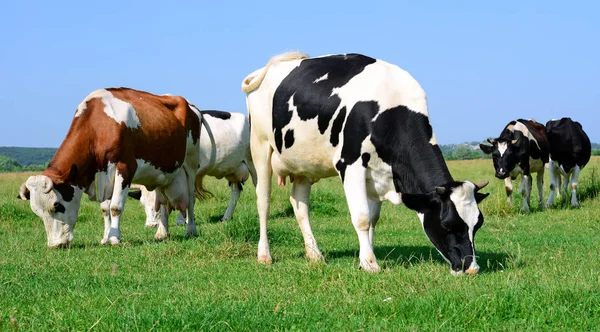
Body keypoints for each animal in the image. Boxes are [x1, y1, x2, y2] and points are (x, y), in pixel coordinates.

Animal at [18, 87, 202, 248]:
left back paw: (191, 230)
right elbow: (105, 209)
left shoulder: (125, 168)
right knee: (162, 202)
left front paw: (114, 238)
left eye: (57, 205)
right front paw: (106, 237)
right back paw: (162, 233)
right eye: (37, 212)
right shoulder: (103, 175)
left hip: (191, 164)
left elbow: (115, 207)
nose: (55, 245)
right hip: (163, 175)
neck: (98, 126)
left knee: (191, 200)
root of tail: (190, 105)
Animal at [241, 52, 490, 274]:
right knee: (263, 201)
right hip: (260, 147)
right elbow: (361, 218)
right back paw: (265, 255)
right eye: (447, 224)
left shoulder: (378, 174)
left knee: (299, 204)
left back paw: (314, 255)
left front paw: (364, 257)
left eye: (478, 224)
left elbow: (372, 219)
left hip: (303, 163)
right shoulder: (350, 164)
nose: (471, 269)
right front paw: (370, 264)